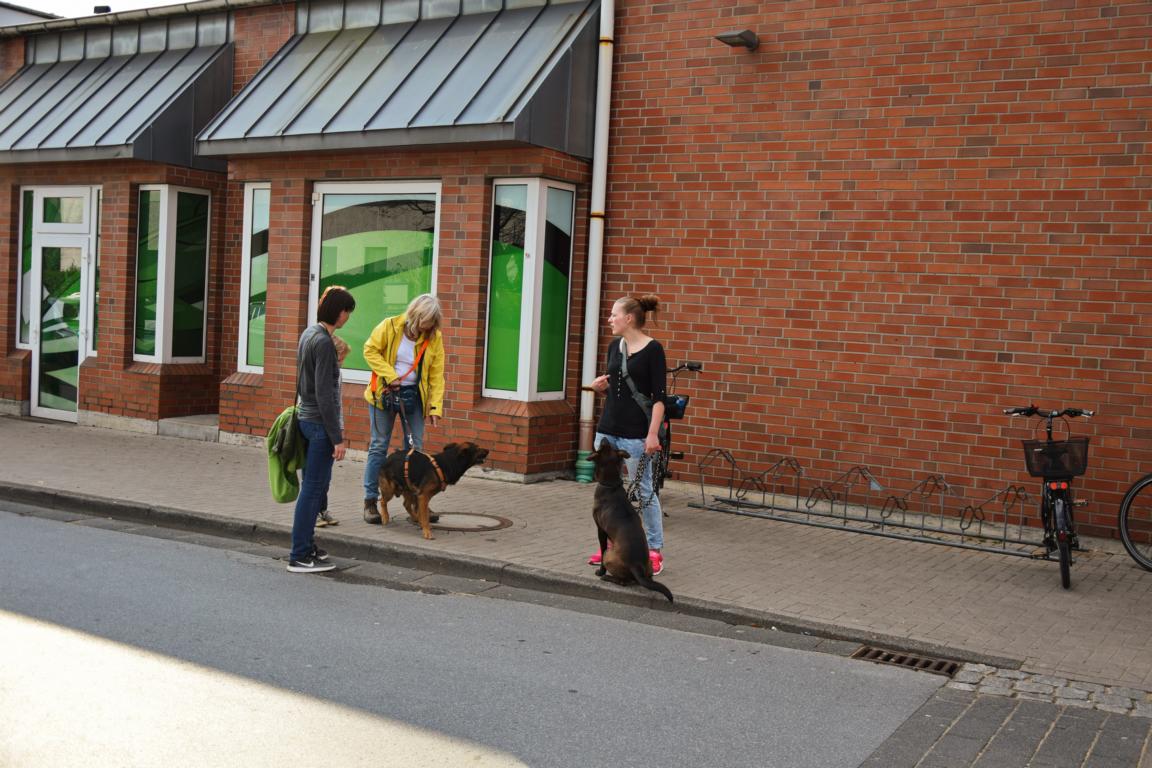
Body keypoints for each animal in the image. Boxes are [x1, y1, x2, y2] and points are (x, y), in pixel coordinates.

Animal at [589, 442, 672, 603]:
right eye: (609, 446)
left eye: (602, 447)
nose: (604, 438)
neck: (611, 485)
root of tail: (637, 566)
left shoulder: (600, 530)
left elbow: (603, 547)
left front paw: (600, 572)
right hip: (648, 565)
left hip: (609, 555)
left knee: (623, 581)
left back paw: (607, 578)